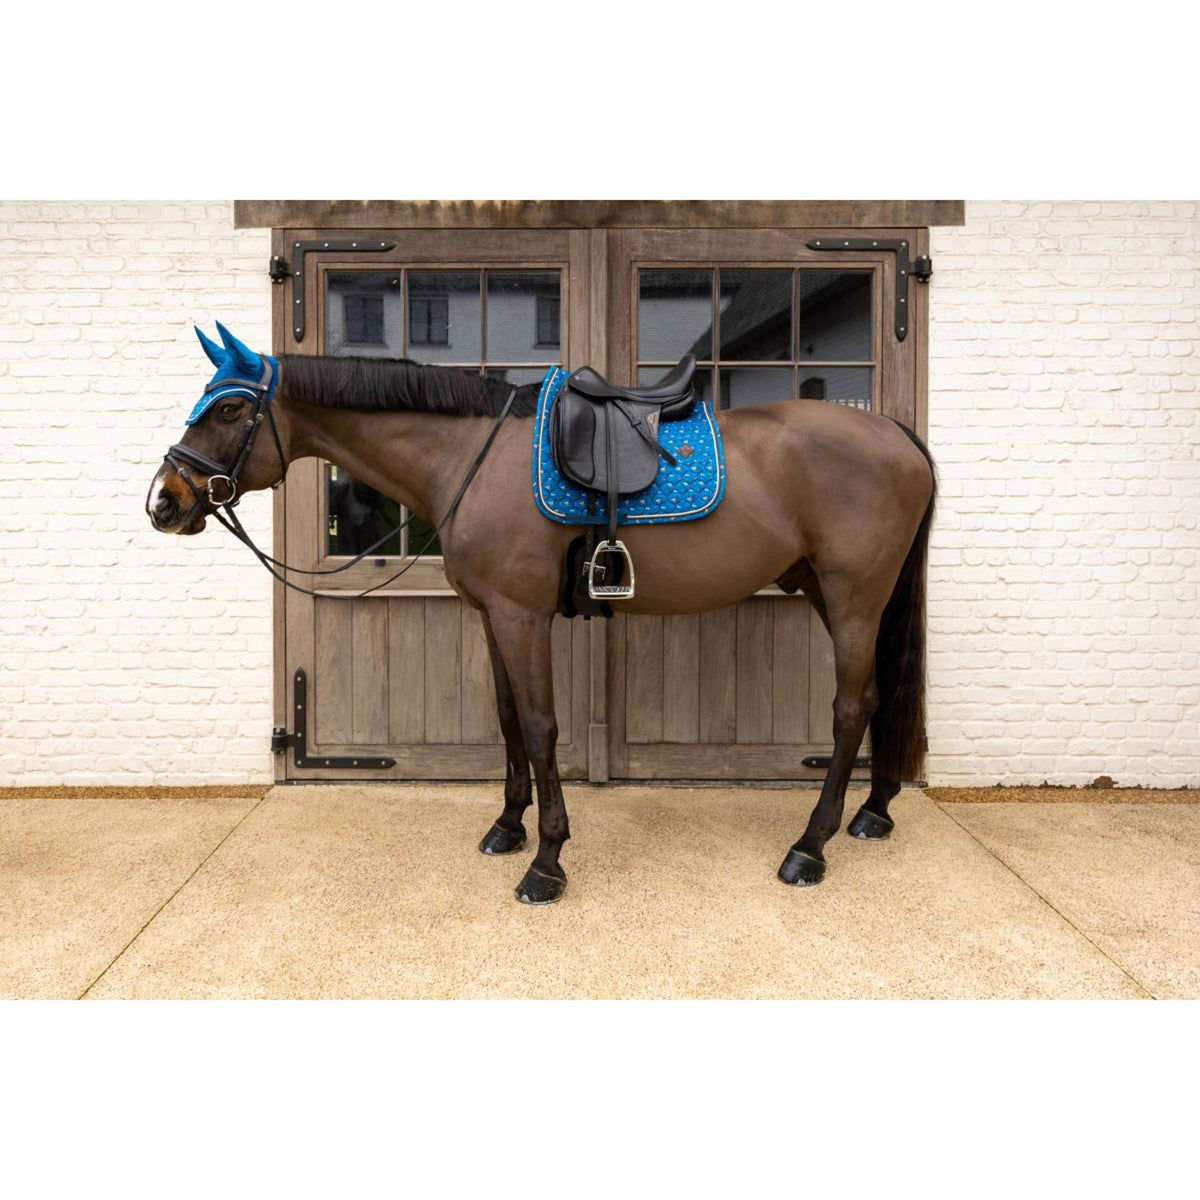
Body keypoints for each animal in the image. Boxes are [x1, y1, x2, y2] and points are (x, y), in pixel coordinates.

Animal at [146, 323, 936, 905]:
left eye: (229, 408)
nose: (164, 501)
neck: (468, 456)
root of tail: (897, 434)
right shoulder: (490, 615)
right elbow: (506, 719)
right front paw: (508, 827)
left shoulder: (522, 616)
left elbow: (539, 724)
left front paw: (548, 861)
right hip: (840, 593)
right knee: (881, 696)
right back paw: (874, 811)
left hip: (853, 596)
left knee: (851, 707)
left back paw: (809, 847)